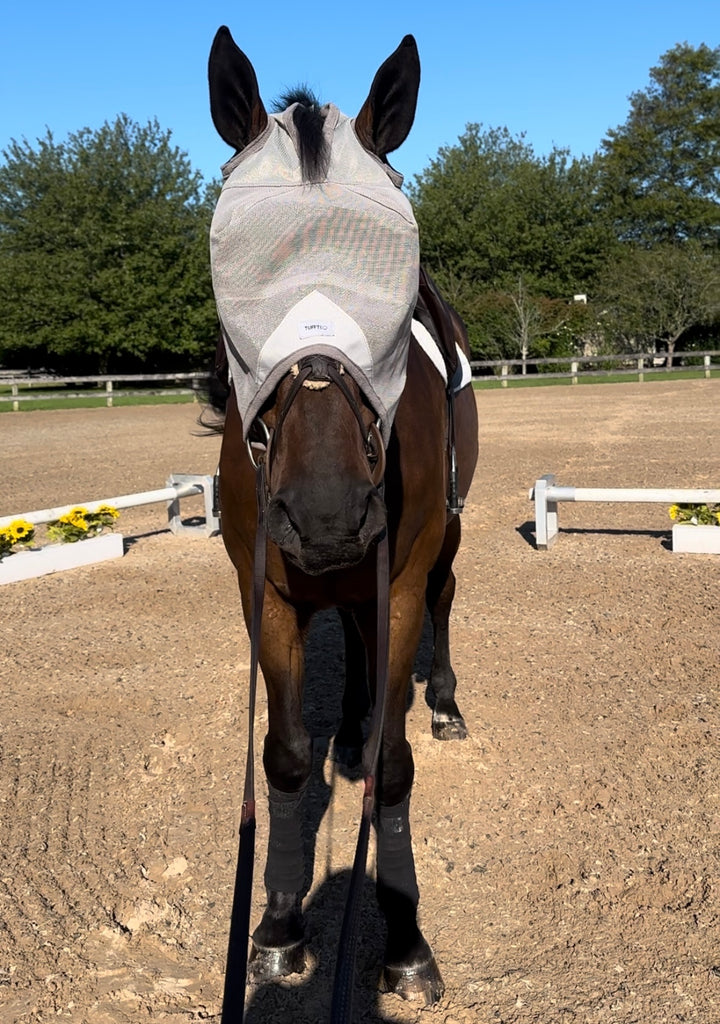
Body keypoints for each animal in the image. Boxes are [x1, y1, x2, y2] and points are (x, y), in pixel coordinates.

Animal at [206, 25, 479, 1015]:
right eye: (237, 286)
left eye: (386, 299)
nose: (326, 514)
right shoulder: (268, 594)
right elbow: (286, 759)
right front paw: (281, 927)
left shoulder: (395, 575)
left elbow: (397, 770)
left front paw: (404, 939)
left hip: (438, 542)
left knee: (440, 603)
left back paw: (441, 704)